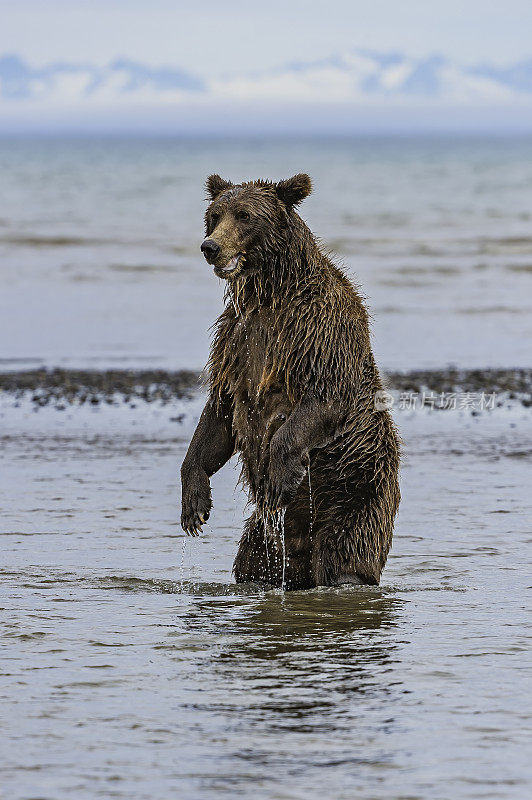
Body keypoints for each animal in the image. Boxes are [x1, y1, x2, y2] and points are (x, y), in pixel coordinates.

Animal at [180, 173, 400, 588]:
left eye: (245, 215)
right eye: (214, 215)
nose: (210, 246)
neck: (268, 294)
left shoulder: (318, 331)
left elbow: (324, 398)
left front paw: (282, 476)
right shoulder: (236, 343)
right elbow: (219, 415)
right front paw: (194, 505)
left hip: (354, 491)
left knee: (345, 558)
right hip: (266, 536)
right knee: (251, 564)